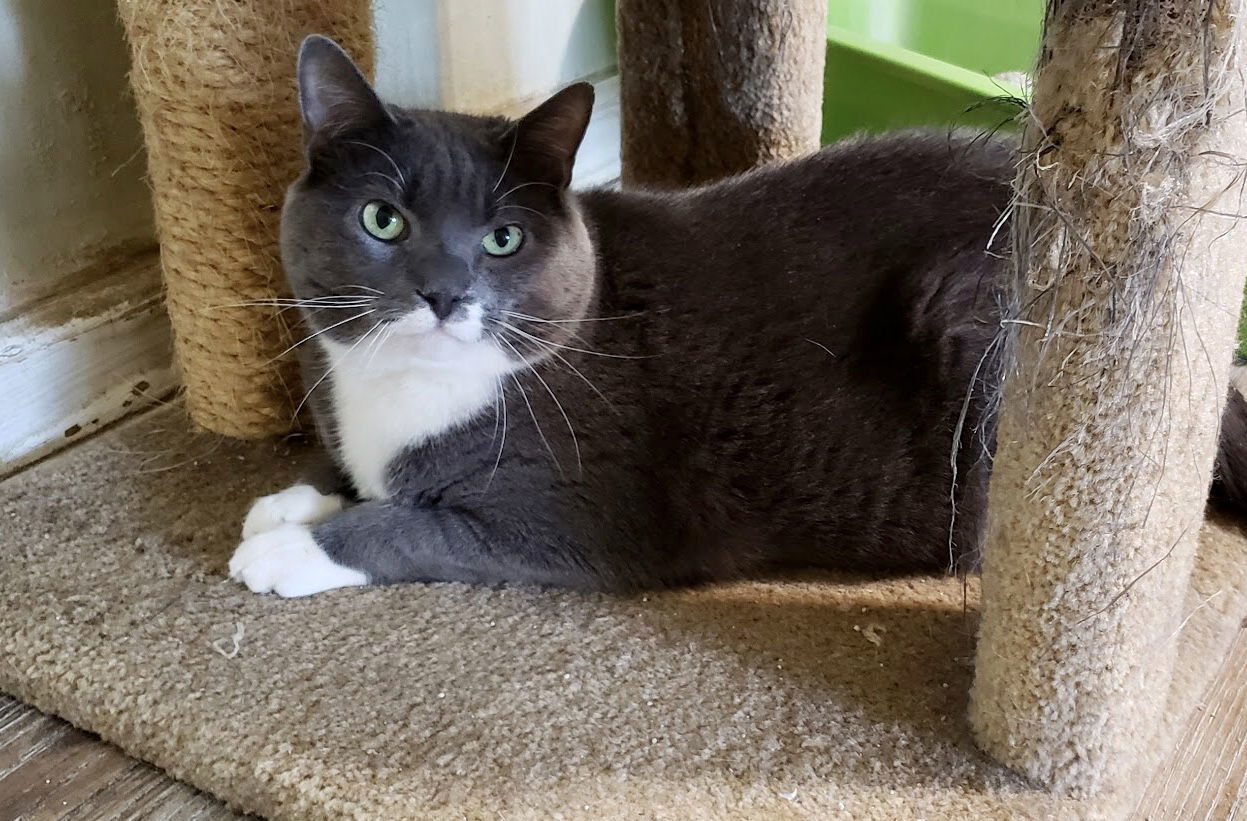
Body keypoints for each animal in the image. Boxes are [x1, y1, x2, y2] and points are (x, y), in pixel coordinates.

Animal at [229, 35, 1242, 593]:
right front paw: (292, 495)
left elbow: (410, 522)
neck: (402, 390)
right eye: (382, 220)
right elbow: (361, 478)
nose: (443, 293)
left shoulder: (569, 516)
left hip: (970, 319)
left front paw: (288, 548)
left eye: (503, 239)